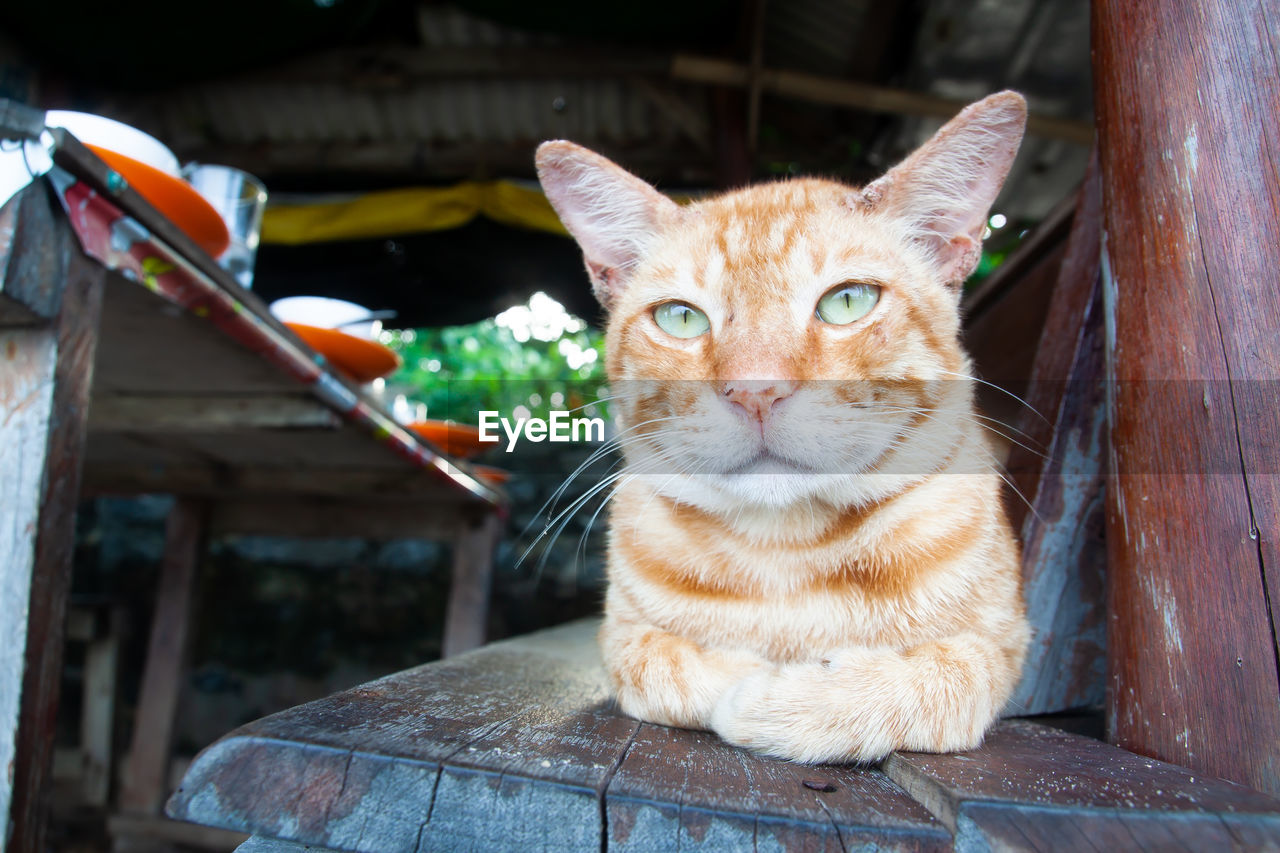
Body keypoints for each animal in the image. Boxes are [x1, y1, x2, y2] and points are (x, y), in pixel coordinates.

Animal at [537, 91, 1029, 758]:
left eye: (847, 301)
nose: (756, 390)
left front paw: (785, 699)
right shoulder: (620, 635)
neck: (786, 554)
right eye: (681, 318)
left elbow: (939, 678)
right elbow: (660, 666)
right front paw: (743, 677)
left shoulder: (1004, 645)